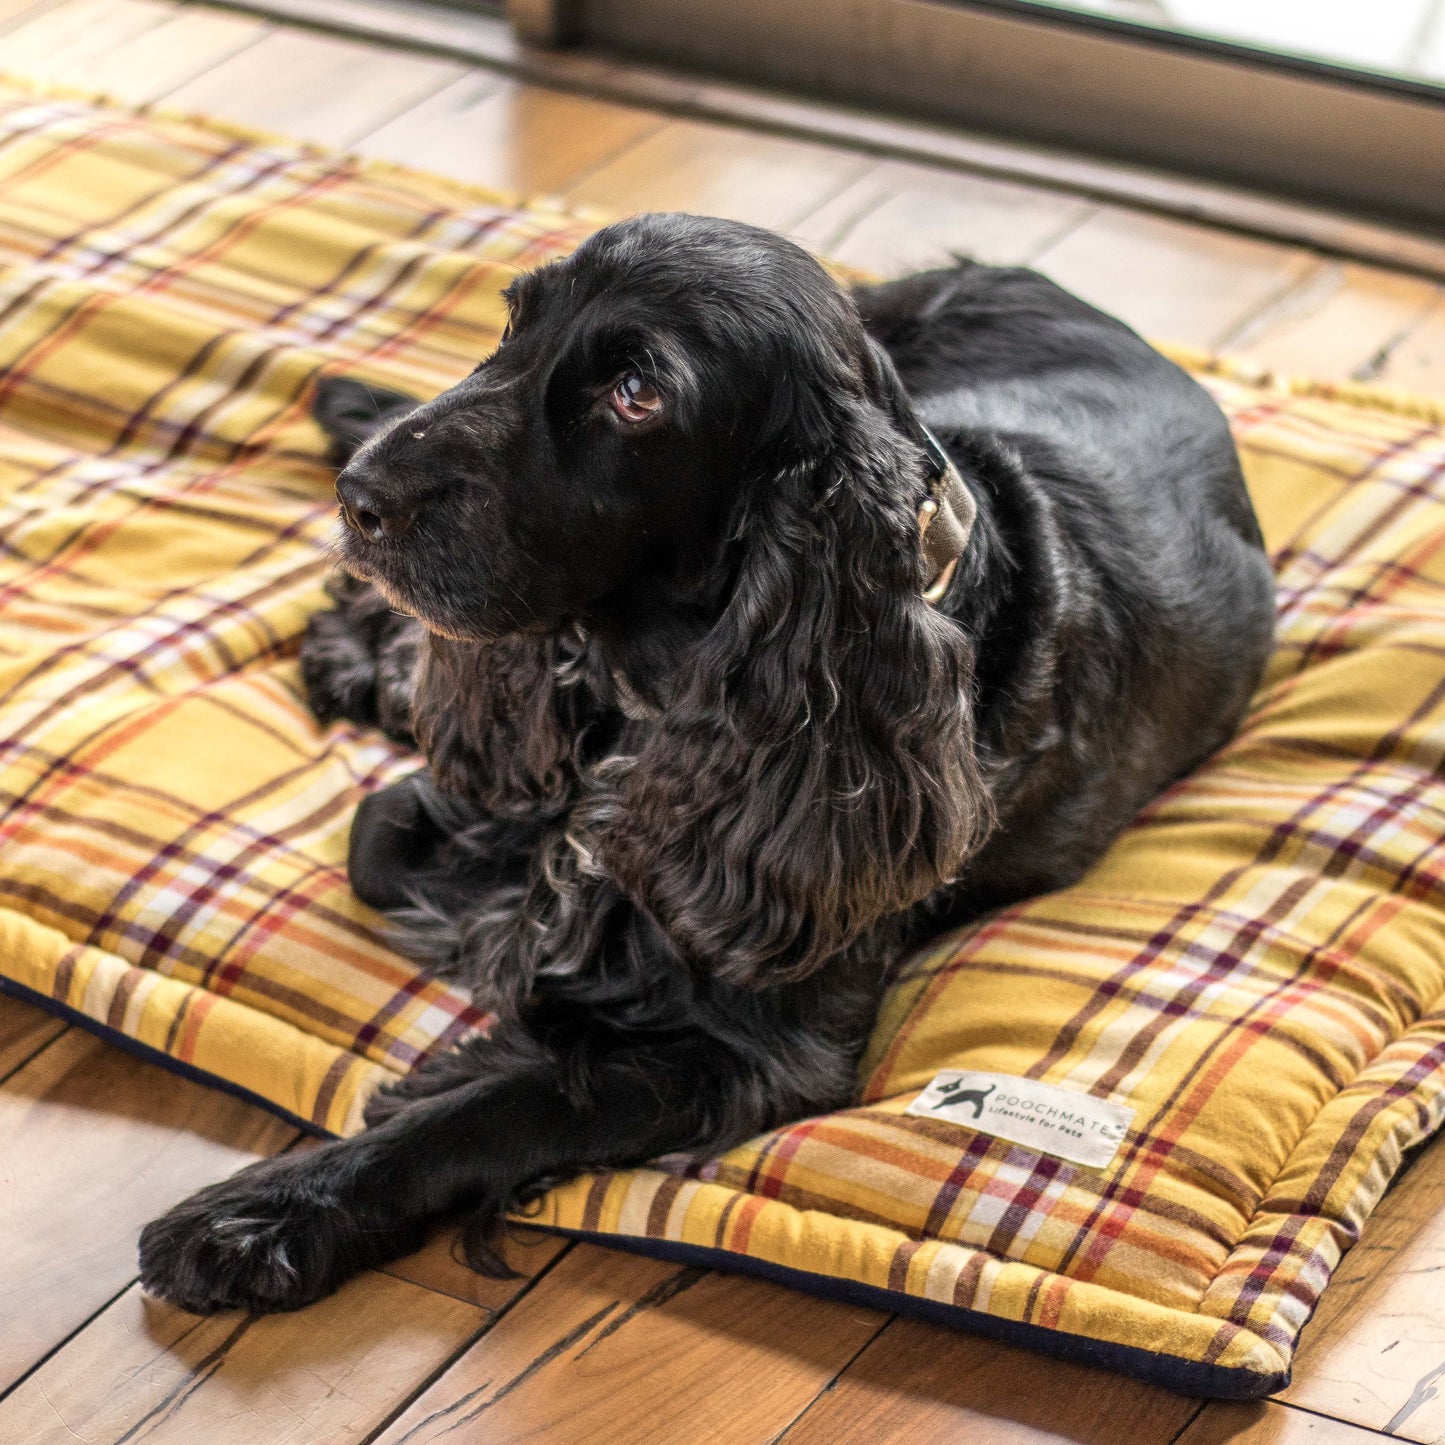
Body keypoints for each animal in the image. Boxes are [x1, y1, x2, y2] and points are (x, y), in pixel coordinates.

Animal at [135, 210, 1271, 1312]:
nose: (358, 494)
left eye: (637, 394)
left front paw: (265, 1214)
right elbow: (389, 840)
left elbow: (494, 1106)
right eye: (513, 323)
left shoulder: (756, 1050)